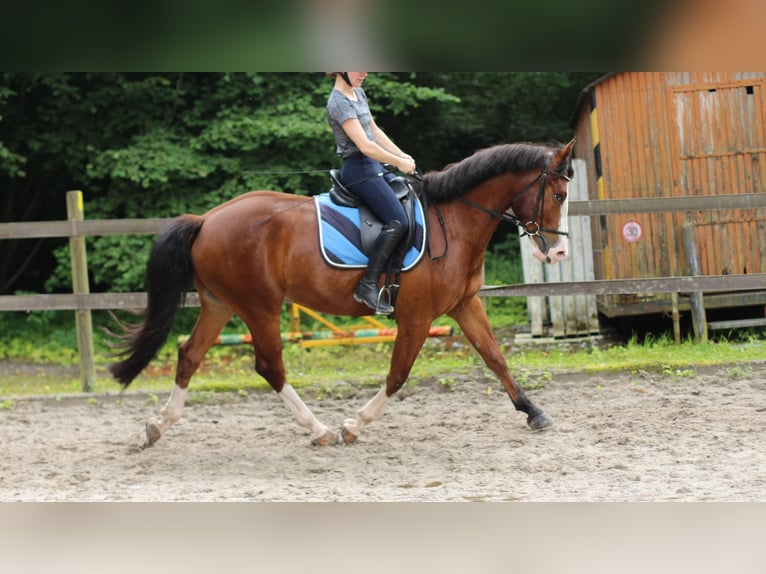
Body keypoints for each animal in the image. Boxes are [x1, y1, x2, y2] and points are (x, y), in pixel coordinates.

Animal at [108, 140, 576, 450]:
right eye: (558, 194)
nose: (559, 252)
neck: (455, 221)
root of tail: (206, 219)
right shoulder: (416, 318)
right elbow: (397, 375)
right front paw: (354, 425)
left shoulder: (465, 305)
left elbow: (496, 358)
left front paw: (534, 412)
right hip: (259, 307)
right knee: (269, 366)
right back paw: (318, 430)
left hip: (220, 305)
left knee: (189, 355)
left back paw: (157, 426)